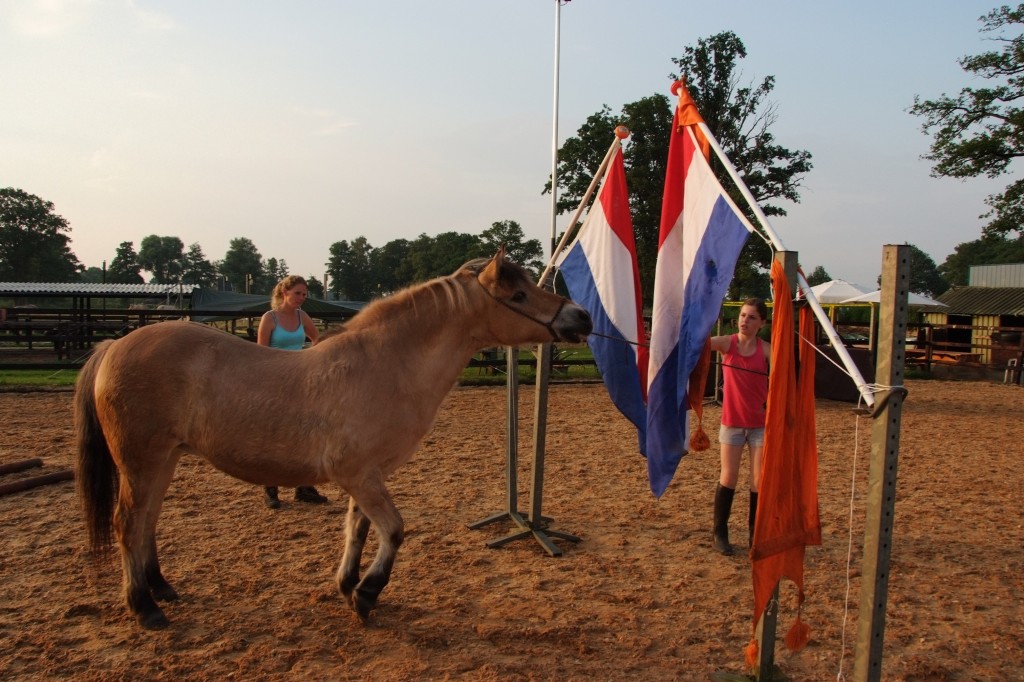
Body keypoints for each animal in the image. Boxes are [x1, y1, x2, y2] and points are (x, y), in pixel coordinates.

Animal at [75, 247, 592, 629]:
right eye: (519, 294)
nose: (582, 318)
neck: (383, 365)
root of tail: (113, 346)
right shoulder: (358, 474)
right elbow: (394, 530)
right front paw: (366, 594)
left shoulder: (366, 477)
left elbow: (358, 529)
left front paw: (348, 586)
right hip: (141, 461)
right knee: (128, 524)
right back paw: (145, 608)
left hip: (162, 461)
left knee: (147, 524)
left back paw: (162, 588)